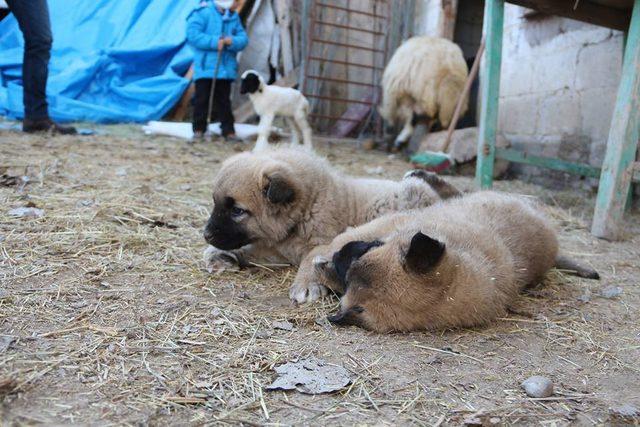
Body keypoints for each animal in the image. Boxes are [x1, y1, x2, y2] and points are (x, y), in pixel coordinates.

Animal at [202, 147, 458, 304]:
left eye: (237, 211)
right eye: (215, 203)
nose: (206, 235)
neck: (303, 213)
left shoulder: (325, 243)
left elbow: (310, 258)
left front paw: (307, 284)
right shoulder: (279, 251)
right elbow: (253, 250)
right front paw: (221, 255)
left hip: (410, 195)